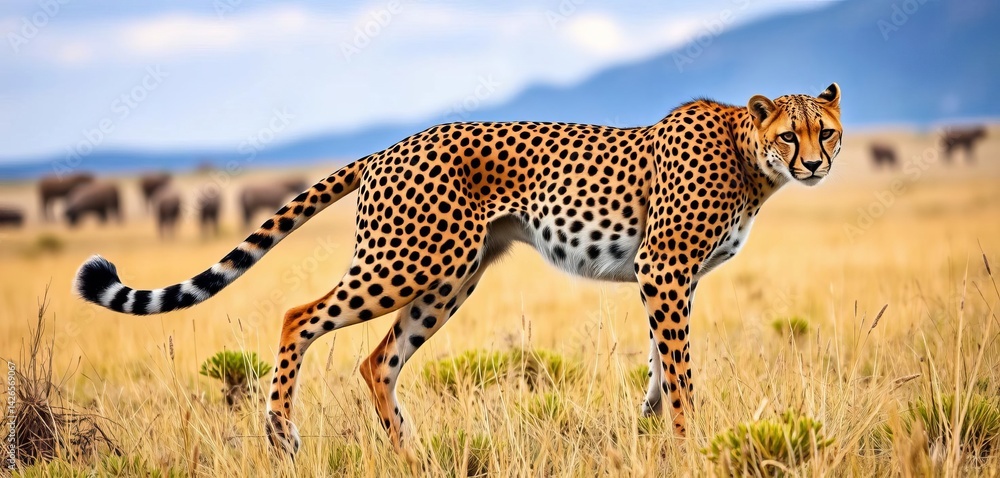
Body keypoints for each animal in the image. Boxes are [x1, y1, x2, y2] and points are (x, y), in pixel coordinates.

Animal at [74, 83, 842, 456]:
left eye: (826, 132)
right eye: (789, 135)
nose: (815, 165)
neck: (747, 153)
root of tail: (391, 145)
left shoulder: (669, 277)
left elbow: (662, 359)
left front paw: (653, 422)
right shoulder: (665, 266)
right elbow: (681, 368)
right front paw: (684, 440)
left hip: (450, 277)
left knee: (377, 360)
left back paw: (410, 452)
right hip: (408, 263)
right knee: (299, 317)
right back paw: (281, 433)